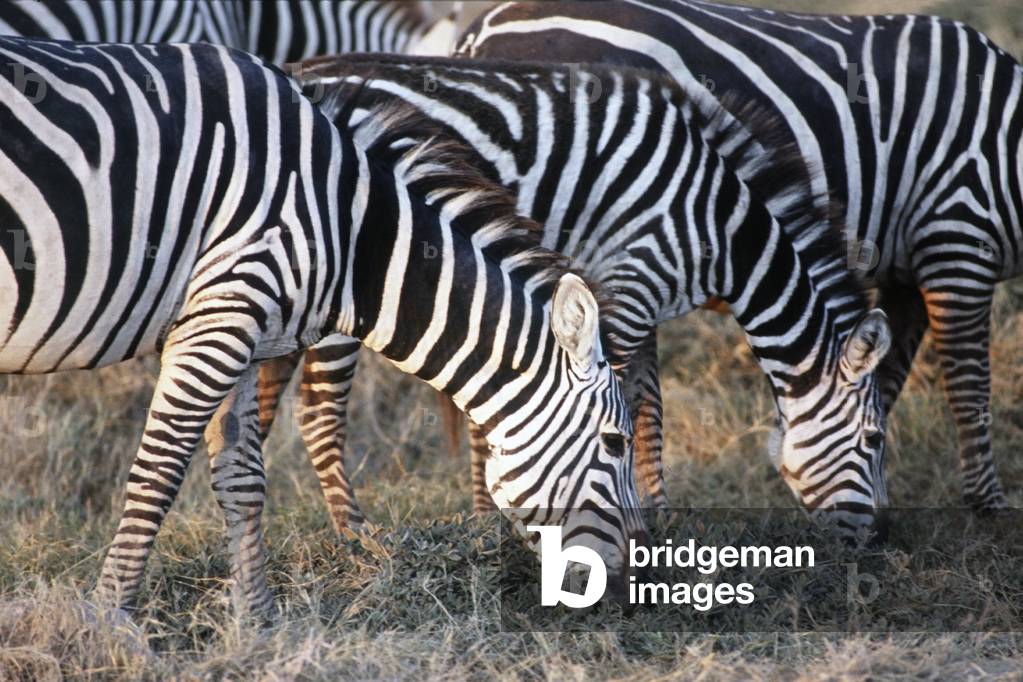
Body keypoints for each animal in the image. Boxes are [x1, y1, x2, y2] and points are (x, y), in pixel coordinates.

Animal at [0, 36, 646, 615]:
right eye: (615, 442)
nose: (631, 590)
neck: (351, 228)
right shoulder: (224, 308)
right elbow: (158, 472)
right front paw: (111, 619)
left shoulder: (235, 324)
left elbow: (242, 476)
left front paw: (258, 624)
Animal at [279, 53, 894, 539]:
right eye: (873, 438)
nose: (882, 540)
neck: (721, 223)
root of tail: (298, 71)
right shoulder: (633, 282)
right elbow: (624, 402)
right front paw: (629, 513)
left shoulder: (643, 300)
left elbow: (649, 403)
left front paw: (659, 513)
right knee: (318, 411)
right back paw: (356, 540)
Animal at [456, 0, 1023, 511]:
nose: (879, 537)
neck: (1006, 141)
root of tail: (479, 32)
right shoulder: (957, 235)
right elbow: (969, 387)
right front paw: (986, 511)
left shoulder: (908, 273)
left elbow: (885, 380)